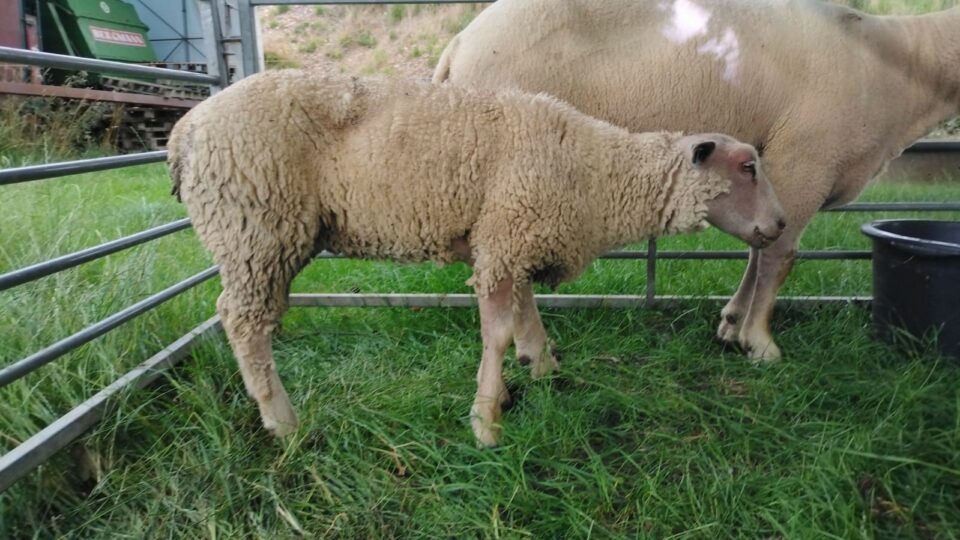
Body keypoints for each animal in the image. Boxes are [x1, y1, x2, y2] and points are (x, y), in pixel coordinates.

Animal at [171, 69, 788, 446]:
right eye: (747, 167)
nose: (781, 224)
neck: (597, 173)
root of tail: (185, 132)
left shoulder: (511, 235)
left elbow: (524, 310)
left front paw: (539, 368)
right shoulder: (506, 235)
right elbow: (497, 331)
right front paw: (486, 419)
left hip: (255, 237)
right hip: (257, 227)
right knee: (242, 321)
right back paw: (284, 422)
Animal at [436, 0, 960, 362]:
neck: (894, 61)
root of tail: (459, 47)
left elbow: (759, 245)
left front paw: (732, 324)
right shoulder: (805, 157)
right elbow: (780, 255)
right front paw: (760, 343)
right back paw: (535, 351)